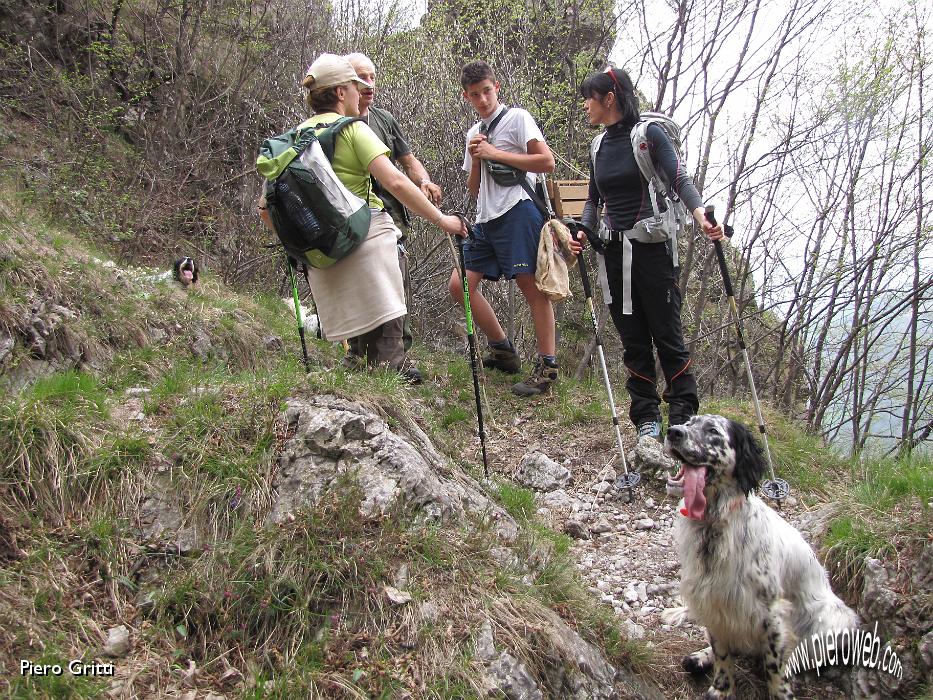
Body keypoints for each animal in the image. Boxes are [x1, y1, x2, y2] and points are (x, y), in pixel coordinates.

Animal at [664, 412, 860, 696]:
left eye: (713, 431)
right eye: (689, 423)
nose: (673, 431)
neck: (714, 524)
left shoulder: (772, 614)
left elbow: (775, 667)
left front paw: (781, 693)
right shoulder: (713, 602)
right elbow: (722, 654)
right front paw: (721, 689)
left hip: (836, 621)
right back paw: (700, 657)